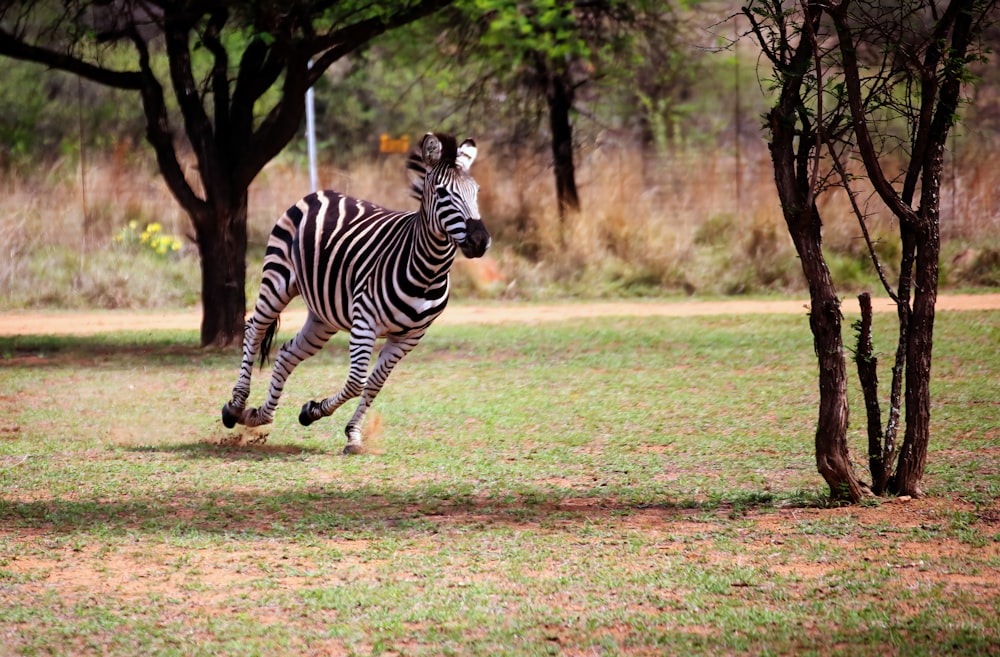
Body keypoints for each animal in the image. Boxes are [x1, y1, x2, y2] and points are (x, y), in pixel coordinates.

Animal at [225, 131, 494, 454]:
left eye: (475, 191)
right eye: (442, 193)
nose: (480, 241)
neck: (428, 272)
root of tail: (321, 192)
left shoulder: (409, 337)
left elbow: (374, 384)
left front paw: (350, 433)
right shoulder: (365, 321)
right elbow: (356, 382)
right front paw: (312, 411)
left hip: (323, 315)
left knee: (288, 353)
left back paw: (258, 415)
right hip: (277, 279)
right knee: (254, 329)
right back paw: (235, 406)